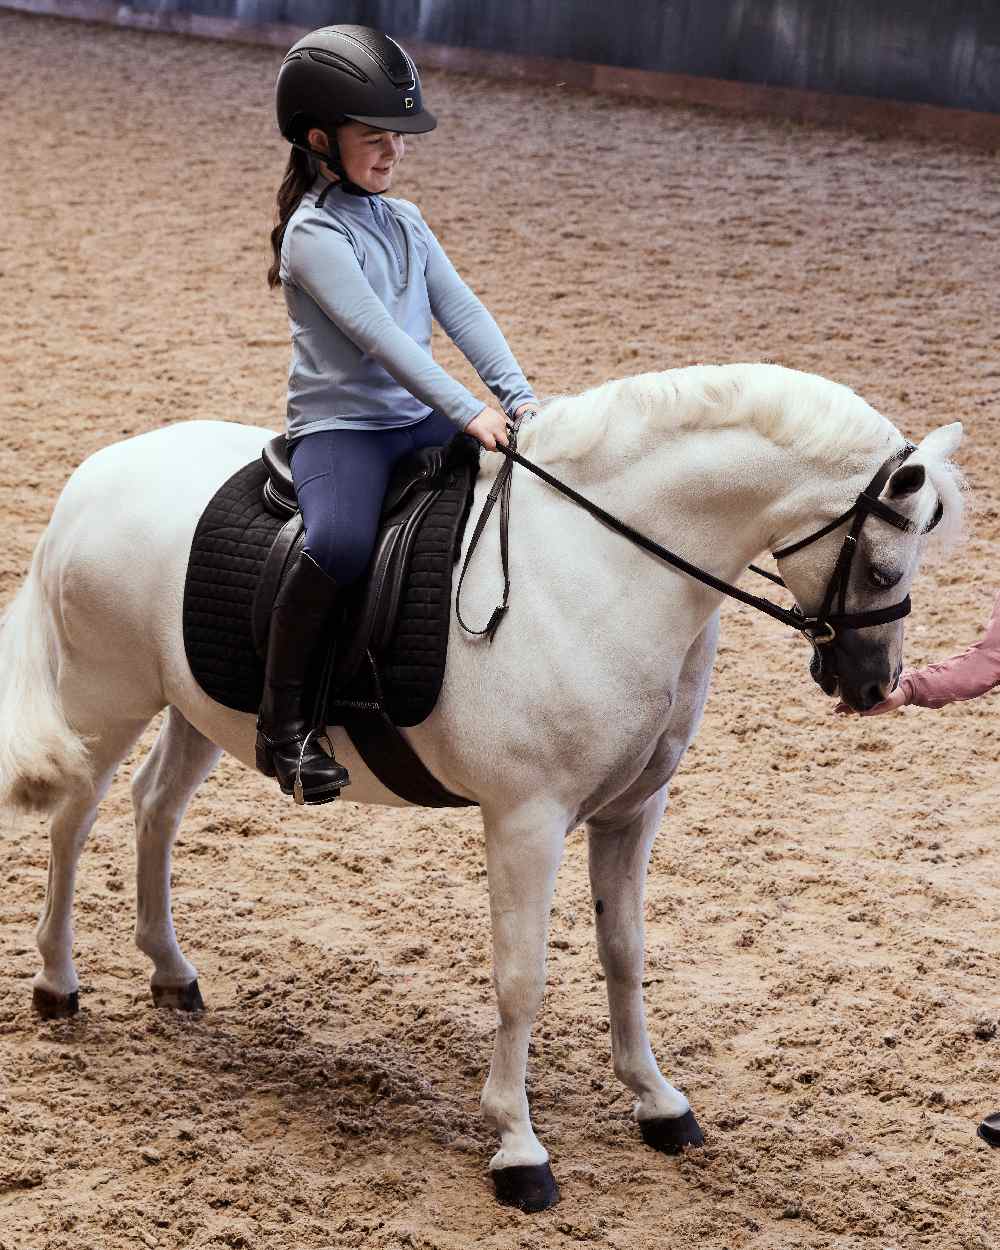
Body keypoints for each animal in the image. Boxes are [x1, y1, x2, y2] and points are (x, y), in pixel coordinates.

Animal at [0, 362, 963, 1212]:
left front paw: (658, 1104)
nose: (873, 685)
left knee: (153, 811)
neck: (605, 568)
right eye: (883, 569)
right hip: (106, 701)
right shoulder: (525, 821)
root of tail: (93, 476)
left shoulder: (631, 812)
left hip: (200, 708)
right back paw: (57, 982)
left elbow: (626, 954)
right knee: (73, 822)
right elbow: (521, 978)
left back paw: (170, 972)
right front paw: (518, 1149)